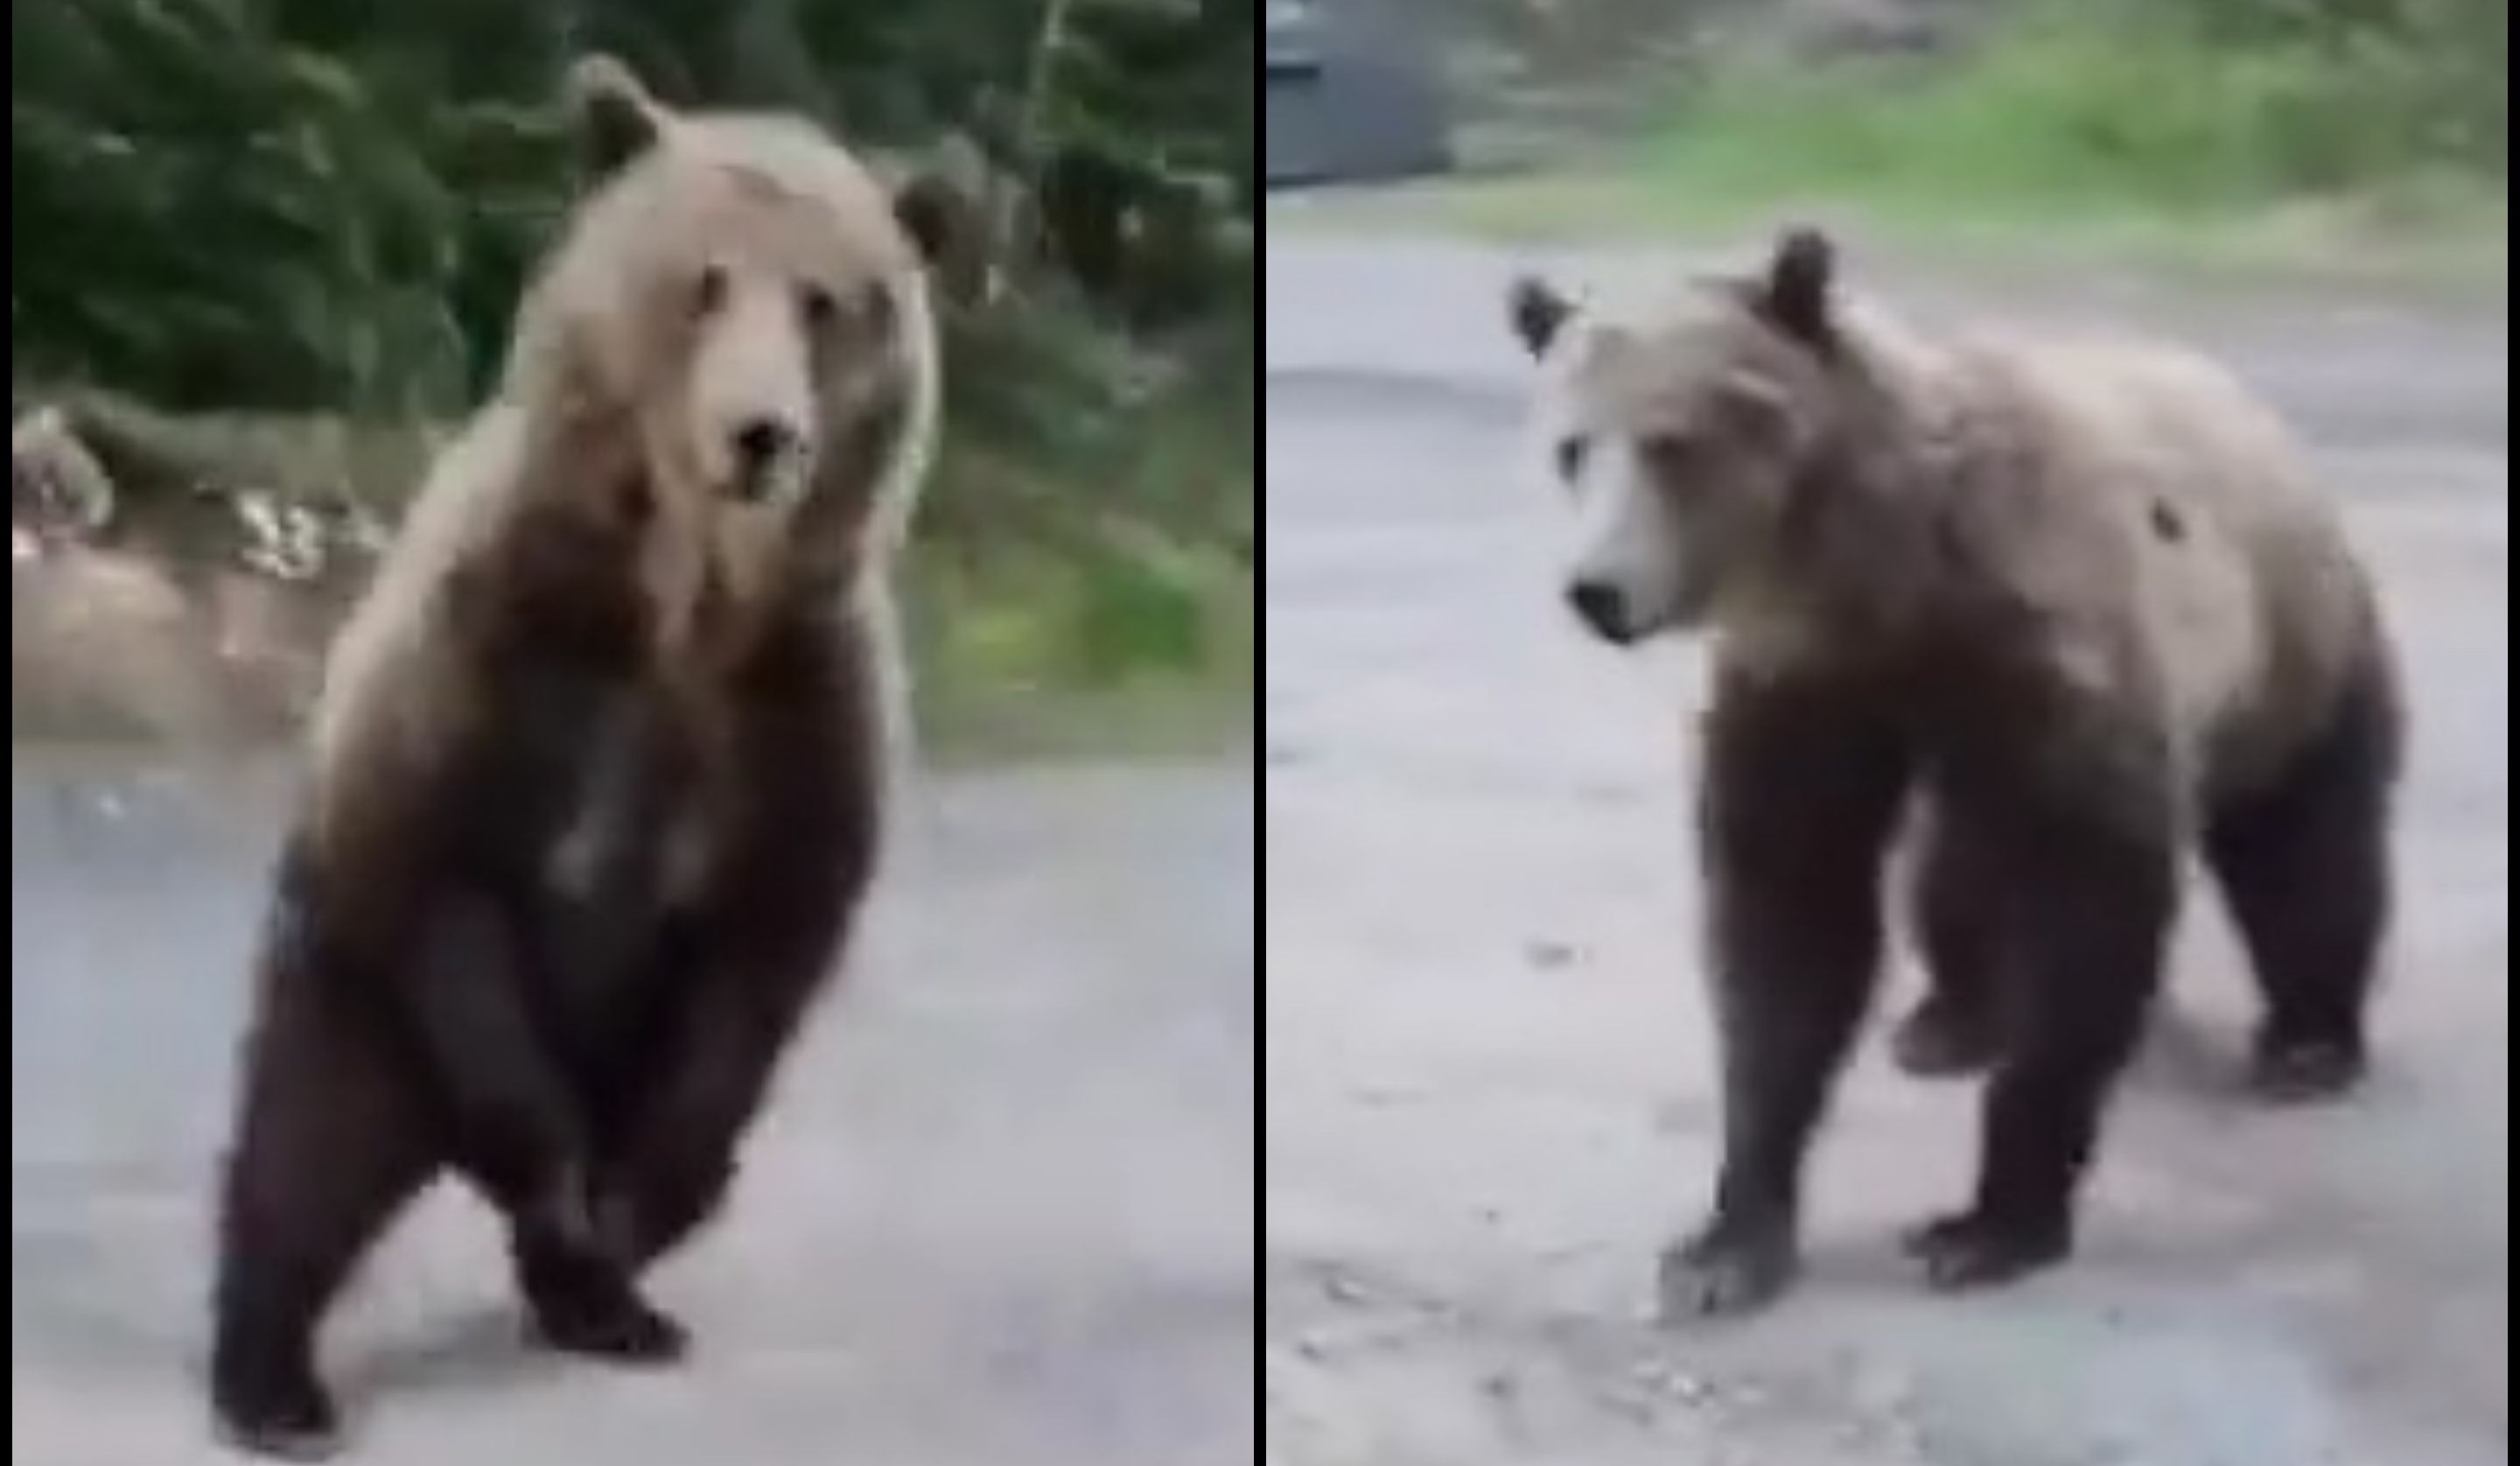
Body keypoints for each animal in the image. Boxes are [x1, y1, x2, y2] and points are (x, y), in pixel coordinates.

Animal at [208, 56, 966, 1459]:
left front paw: (616, 1220)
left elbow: (763, 949)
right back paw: (277, 1378)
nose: (762, 433)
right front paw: (559, 1179)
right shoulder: (499, 648)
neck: (683, 604)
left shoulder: (796, 704)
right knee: (302, 1151)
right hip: (356, 1001)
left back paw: (607, 1299)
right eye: (705, 279)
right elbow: (445, 874)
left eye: (828, 301)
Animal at [1503, 228, 2403, 1321]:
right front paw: (1726, 1240)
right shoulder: (1809, 690)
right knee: (1955, 862)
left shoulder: (2054, 650)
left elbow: (2088, 903)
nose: (1596, 590)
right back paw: (1949, 1021)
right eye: (1572, 448)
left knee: (2305, 846)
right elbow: (1786, 924)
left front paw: (1984, 1224)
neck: (1886, 584)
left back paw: (2309, 1041)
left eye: (1674, 442)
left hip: (2292, 645)